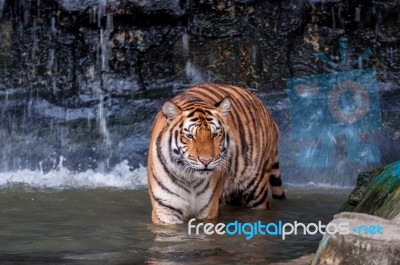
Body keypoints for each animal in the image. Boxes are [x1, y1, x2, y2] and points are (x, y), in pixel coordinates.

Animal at [147, 83, 284, 223]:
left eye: (215, 134)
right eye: (190, 136)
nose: (206, 161)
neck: (189, 178)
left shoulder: (208, 208)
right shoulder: (166, 209)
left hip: (257, 187)